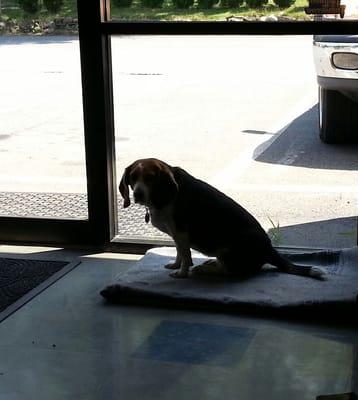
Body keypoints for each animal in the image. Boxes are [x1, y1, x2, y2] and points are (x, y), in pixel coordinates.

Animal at [118, 158, 324, 280]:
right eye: (133, 177)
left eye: (150, 178)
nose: (138, 194)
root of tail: (269, 249)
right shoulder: (177, 236)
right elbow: (179, 253)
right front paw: (175, 264)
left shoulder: (182, 233)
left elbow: (186, 256)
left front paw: (182, 272)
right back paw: (210, 264)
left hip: (228, 249)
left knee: (231, 271)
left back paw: (205, 269)